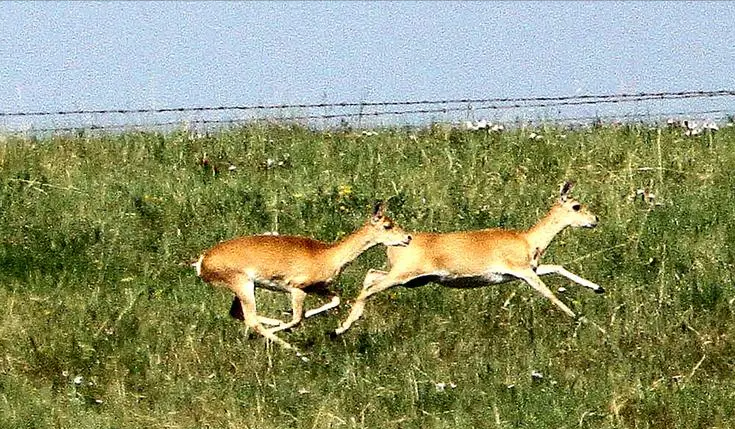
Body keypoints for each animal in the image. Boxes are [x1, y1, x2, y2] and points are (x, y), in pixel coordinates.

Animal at [194, 202, 414, 350]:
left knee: (237, 313)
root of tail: (202, 261)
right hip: (243, 285)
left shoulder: (318, 288)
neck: (328, 254)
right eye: (387, 225)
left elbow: (335, 300)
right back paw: (296, 351)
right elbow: (297, 318)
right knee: (251, 320)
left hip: (245, 288)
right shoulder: (297, 288)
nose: (408, 237)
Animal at [336, 181, 608, 334]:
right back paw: (339, 330)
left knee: (370, 276)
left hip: (410, 280)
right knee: (369, 288)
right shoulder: (524, 272)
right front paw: (579, 318)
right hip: (403, 276)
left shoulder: (528, 270)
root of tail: (400, 241)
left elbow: (559, 267)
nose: (595, 220)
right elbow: (549, 293)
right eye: (576, 206)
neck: (527, 240)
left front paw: (598, 288)